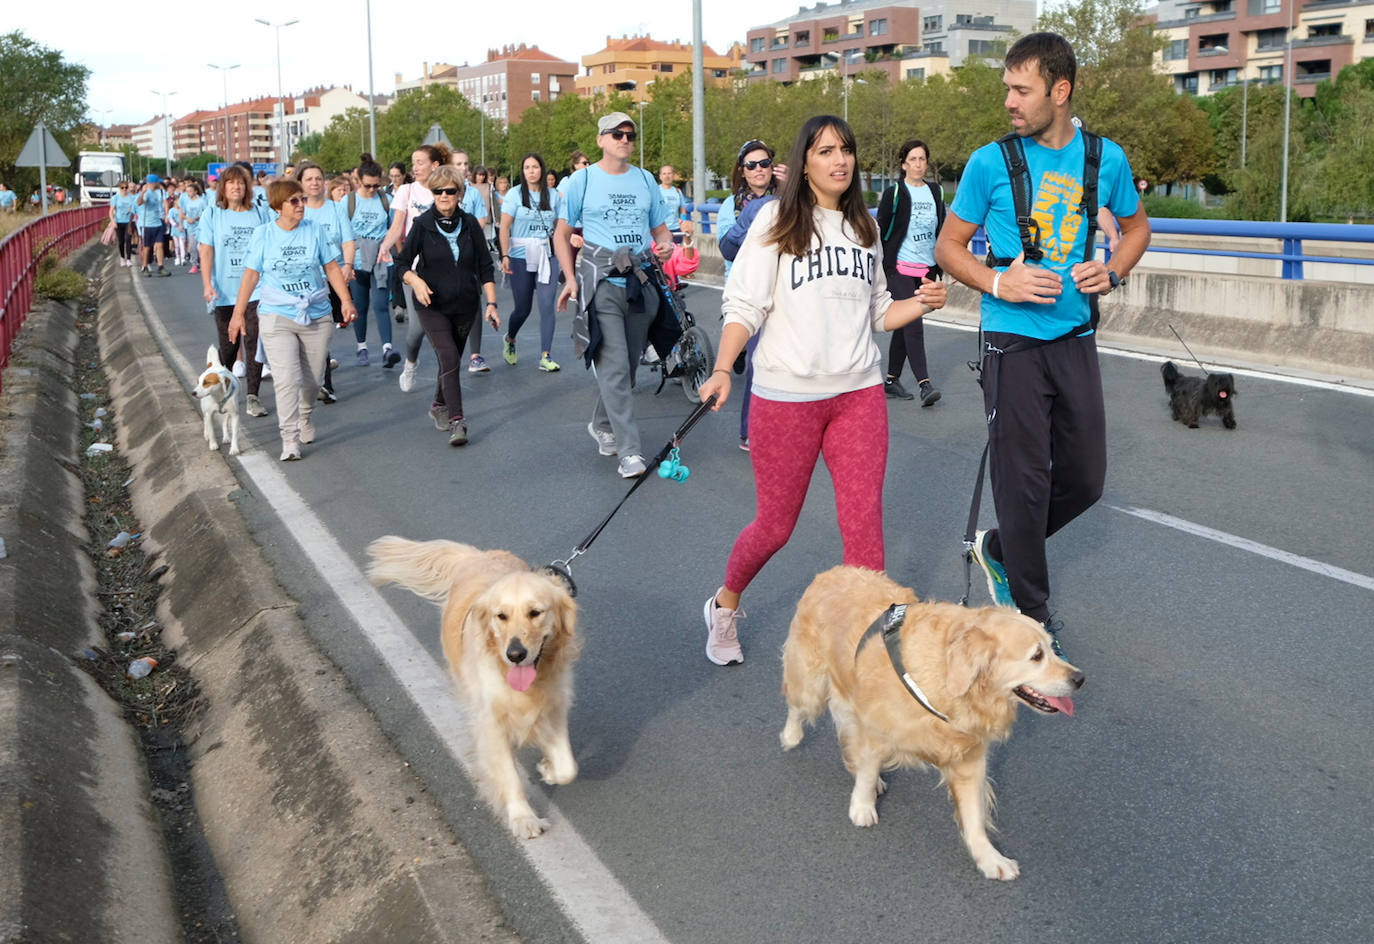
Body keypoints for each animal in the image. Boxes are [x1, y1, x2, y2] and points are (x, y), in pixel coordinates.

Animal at [365, 535, 579, 840]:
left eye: (535, 613)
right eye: (501, 616)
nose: (515, 654)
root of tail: (477, 555)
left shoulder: (554, 704)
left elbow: (568, 767)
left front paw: (548, 769)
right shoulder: (491, 721)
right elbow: (509, 774)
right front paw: (523, 818)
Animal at [780, 566, 1077, 884]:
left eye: (1052, 648)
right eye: (1036, 656)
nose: (1080, 678)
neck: (948, 680)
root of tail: (830, 572)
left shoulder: (969, 757)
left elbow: (974, 817)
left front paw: (990, 859)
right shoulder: (876, 730)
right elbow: (867, 769)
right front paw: (861, 807)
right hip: (810, 685)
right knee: (798, 707)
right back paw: (791, 735)